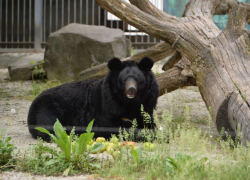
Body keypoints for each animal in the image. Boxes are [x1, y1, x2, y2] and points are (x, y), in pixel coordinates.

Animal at [27, 57, 159, 141]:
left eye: (137, 80)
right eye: (124, 80)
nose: (131, 89)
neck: (130, 102)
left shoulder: (148, 102)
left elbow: (147, 119)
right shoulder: (107, 105)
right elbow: (111, 126)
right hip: (47, 108)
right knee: (49, 127)